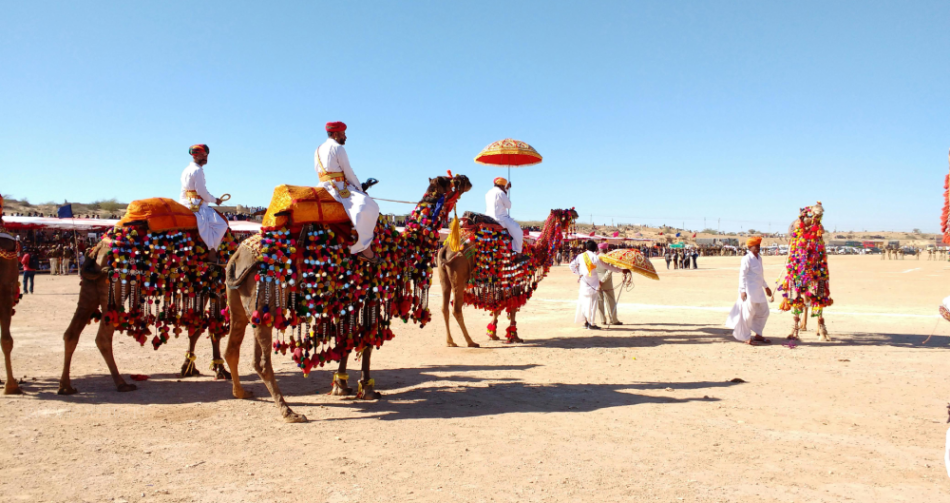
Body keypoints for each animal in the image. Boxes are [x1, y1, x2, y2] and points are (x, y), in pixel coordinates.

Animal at [57, 199, 238, 396]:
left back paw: (66, 386)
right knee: (103, 338)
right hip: (115, 286)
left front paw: (189, 367)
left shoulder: (203, 288)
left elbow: (197, 329)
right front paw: (219, 370)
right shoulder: (218, 286)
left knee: (71, 333)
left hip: (90, 289)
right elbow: (213, 330)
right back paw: (122, 383)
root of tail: (96, 250)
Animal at [224, 175, 476, 424]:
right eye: (451, 181)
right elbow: (367, 342)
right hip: (265, 298)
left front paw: (341, 385)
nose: (467, 179)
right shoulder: (372, 293)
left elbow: (347, 341)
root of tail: (237, 258)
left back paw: (242, 392)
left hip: (243, 305)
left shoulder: (349, 299)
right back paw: (289, 412)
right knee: (262, 361)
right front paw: (367, 389)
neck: (396, 246)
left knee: (235, 349)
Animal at [438, 208, 580, 346]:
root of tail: (445, 249)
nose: (576, 213)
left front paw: (493, 334)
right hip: (459, 277)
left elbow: (498, 305)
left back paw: (450, 341)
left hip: (445, 278)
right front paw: (514, 337)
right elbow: (512, 307)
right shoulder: (515, 278)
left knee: (444, 308)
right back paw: (470, 341)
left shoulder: (503, 280)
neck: (534, 252)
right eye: (564, 213)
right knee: (456, 309)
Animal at [780, 202, 832, 342]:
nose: (819, 208)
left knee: (811, 301)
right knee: (805, 301)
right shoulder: (797, 279)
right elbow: (797, 303)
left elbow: (820, 302)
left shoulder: (820, 278)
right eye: (805, 211)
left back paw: (817, 331)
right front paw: (793, 333)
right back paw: (802, 327)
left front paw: (824, 334)